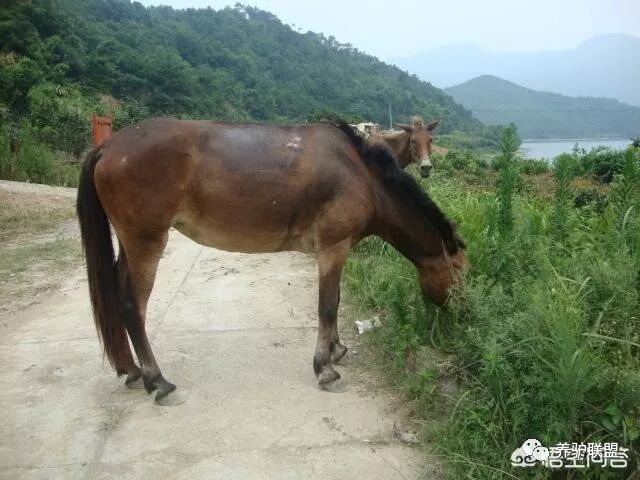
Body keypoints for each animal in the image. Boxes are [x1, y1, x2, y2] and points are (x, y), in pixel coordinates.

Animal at [76, 118, 467, 403]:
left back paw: (132, 371)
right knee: (132, 307)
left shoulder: (336, 251)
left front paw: (337, 349)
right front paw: (325, 368)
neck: (363, 175)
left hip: (130, 246)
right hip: (146, 243)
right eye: (461, 273)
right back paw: (157, 380)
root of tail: (109, 145)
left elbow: (336, 302)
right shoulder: (333, 248)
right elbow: (327, 305)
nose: (461, 319)